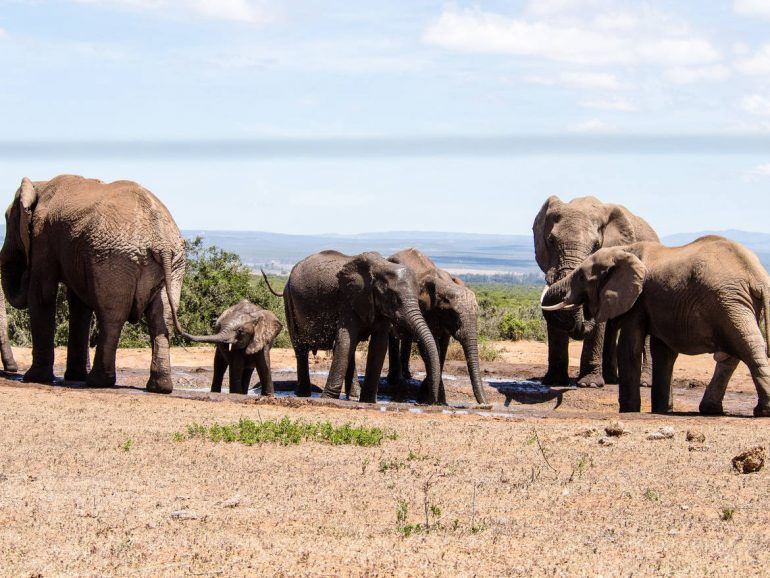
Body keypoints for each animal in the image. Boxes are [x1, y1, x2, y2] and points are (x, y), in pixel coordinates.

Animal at [0, 176, 186, 392]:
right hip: (173, 264)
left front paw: (34, 378)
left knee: (112, 316)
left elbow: (41, 295)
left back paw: (98, 381)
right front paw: (73, 377)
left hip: (115, 258)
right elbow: (78, 304)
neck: (40, 185)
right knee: (162, 318)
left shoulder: (42, 236)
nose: (24, 273)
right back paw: (160, 386)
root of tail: (161, 242)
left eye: (7, 220)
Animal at [260, 250, 438, 402]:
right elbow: (345, 340)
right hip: (289, 301)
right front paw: (327, 399)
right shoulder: (348, 300)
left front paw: (368, 401)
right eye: (394, 298)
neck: (382, 266)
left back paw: (353, 396)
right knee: (301, 348)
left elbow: (378, 346)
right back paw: (303, 394)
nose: (430, 400)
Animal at [384, 248, 486, 404]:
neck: (444, 283)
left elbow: (442, 348)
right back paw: (395, 381)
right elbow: (429, 347)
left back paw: (407, 375)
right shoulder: (423, 310)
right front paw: (432, 398)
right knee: (393, 336)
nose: (486, 404)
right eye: (453, 314)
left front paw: (433, 398)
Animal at [536, 194, 656, 388]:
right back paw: (611, 379)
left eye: (596, 245)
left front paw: (589, 384)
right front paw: (553, 382)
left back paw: (644, 382)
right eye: (551, 241)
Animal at [540, 236, 768, 416]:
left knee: (748, 347)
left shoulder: (638, 299)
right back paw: (712, 410)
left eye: (581, 277)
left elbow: (629, 348)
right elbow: (662, 353)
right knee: (734, 354)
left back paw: (761, 411)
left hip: (728, 302)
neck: (624, 251)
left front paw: (628, 410)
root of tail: (758, 276)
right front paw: (662, 410)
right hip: (735, 303)